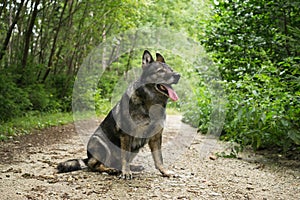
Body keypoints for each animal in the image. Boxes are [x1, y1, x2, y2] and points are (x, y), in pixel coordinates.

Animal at [57, 50, 182, 180]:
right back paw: (110, 169)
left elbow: (159, 159)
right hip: (101, 143)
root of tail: (88, 158)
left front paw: (165, 172)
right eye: (160, 71)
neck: (151, 103)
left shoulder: (156, 137)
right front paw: (126, 172)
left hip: (135, 149)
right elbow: (125, 157)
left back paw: (131, 167)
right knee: (94, 166)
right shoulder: (127, 135)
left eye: (171, 70)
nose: (178, 75)